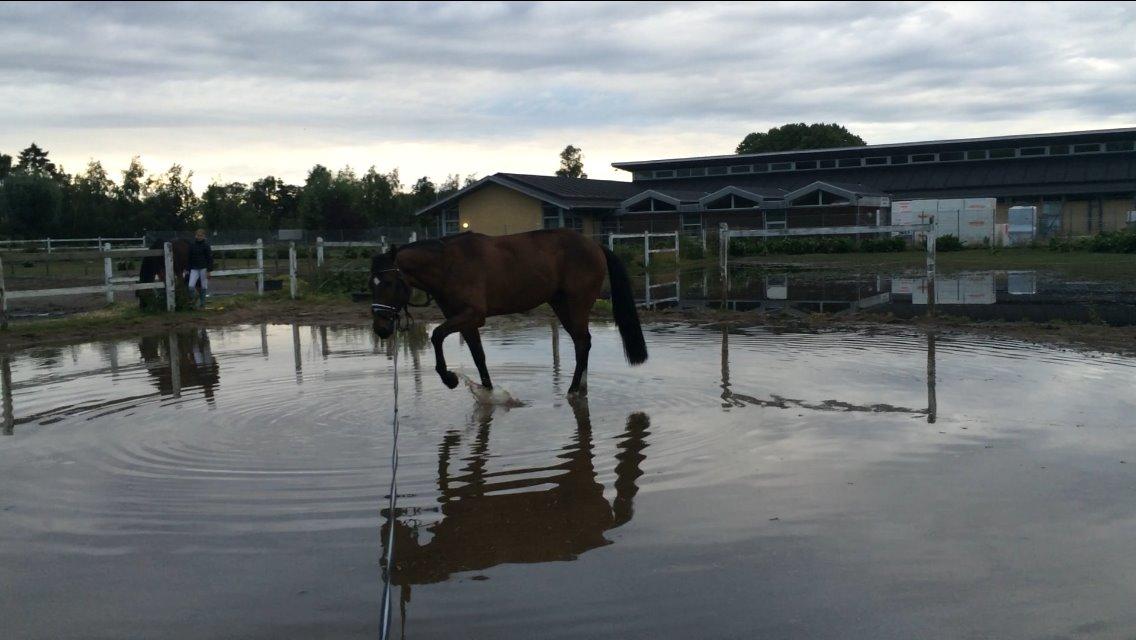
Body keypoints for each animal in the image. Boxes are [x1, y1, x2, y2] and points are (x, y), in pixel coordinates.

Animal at [372, 230, 649, 395]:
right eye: (370, 284)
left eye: (388, 283)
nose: (381, 329)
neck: (448, 264)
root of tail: (595, 245)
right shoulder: (465, 321)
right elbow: (478, 356)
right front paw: (488, 394)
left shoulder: (472, 315)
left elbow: (437, 335)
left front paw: (449, 378)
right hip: (562, 306)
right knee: (582, 342)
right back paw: (581, 387)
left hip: (577, 305)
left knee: (582, 343)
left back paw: (572, 390)